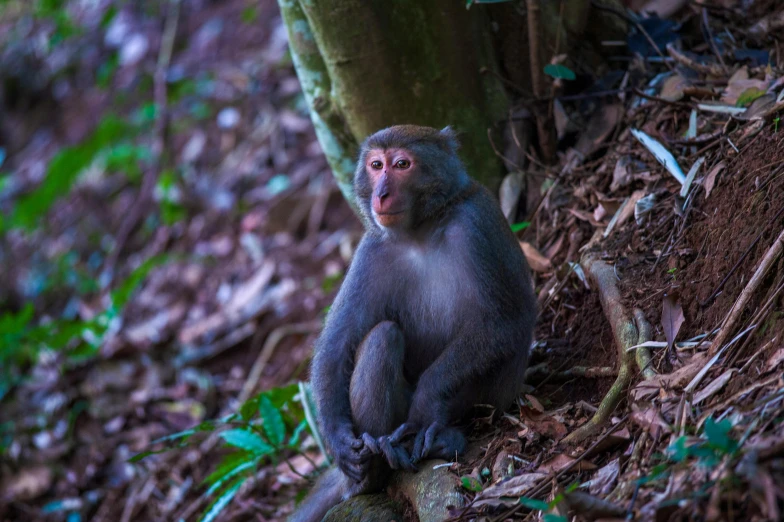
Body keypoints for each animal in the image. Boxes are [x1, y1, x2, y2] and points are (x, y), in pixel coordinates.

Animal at [290, 124, 536, 516]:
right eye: (376, 165)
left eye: (402, 165)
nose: (381, 194)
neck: (422, 229)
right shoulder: (372, 248)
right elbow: (337, 343)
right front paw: (338, 439)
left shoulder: (476, 225)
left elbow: (504, 322)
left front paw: (426, 403)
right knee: (382, 337)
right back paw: (368, 477)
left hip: (484, 399)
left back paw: (440, 440)